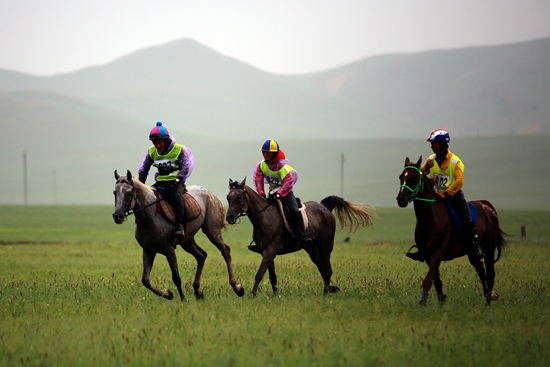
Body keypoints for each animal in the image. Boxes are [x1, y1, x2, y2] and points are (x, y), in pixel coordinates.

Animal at [113, 171, 245, 304]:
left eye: (129, 193)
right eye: (114, 192)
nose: (117, 216)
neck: (150, 216)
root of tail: (210, 194)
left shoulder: (169, 250)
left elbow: (176, 277)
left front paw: (182, 299)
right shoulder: (148, 250)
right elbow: (145, 280)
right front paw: (168, 294)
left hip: (212, 232)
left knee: (225, 252)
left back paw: (237, 288)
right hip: (187, 241)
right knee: (201, 256)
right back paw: (198, 292)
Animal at [225, 178, 376, 296]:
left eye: (239, 197)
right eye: (228, 198)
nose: (229, 217)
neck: (264, 217)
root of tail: (324, 207)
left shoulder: (270, 251)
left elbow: (259, 273)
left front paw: (252, 294)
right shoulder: (265, 252)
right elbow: (272, 275)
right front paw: (275, 295)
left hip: (325, 246)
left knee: (327, 270)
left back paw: (326, 293)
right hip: (311, 248)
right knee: (321, 267)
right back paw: (327, 290)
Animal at [396, 157, 508, 306]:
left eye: (414, 177)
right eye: (401, 177)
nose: (401, 199)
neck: (430, 218)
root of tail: (487, 206)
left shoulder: (437, 253)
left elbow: (428, 280)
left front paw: (422, 304)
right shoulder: (427, 256)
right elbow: (436, 282)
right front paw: (441, 303)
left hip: (489, 248)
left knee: (490, 274)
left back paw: (488, 302)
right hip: (471, 252)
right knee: (480, 269)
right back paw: (487, 297)